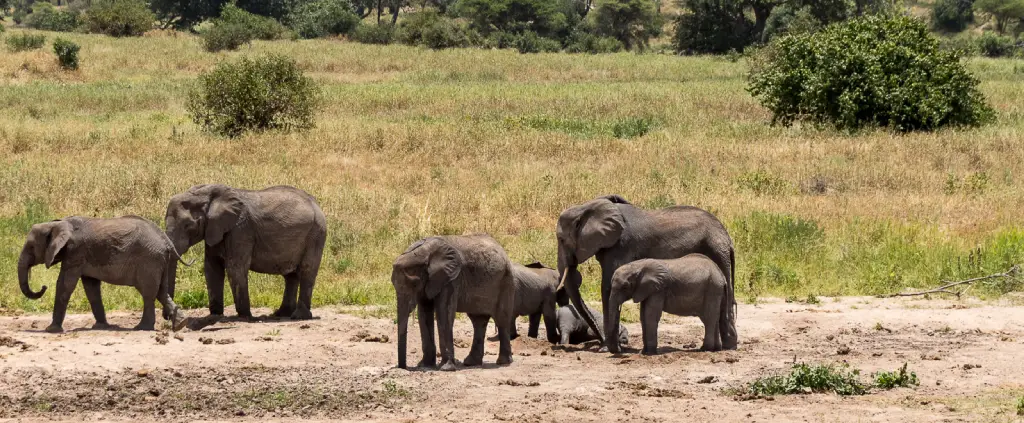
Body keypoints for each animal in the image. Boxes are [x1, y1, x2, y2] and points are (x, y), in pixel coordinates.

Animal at [17, 216, 190, 331]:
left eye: (31, 247)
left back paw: (141, 328)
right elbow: (91, 288)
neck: (57, 224)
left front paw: (51, 330)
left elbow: (65, 284)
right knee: (161, 292)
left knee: (148, 294)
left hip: (149, 261)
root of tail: (166, 241)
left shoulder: (75, 253)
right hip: (159, 261)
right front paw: (101, 326)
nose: (43, 286)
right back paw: (180, 324)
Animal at [163, 183, 325, 317]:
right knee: (290, 276)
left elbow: (235, 268)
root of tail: (316, 204)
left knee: (307, 271)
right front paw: (215, 315)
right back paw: (281, 314)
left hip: (316, 234)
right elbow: (212, 268)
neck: (208, 195)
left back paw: (299, 316)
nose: (168, 317)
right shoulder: (215, 229)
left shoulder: (240, 229)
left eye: (188, 226)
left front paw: (246, 316)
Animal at [393, 234, 516, 368]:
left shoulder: (451, 279)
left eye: (414, 284)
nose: (403, 367)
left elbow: (444, 313)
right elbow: (424, 314)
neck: (423, 253)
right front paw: (425, 366)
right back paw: (471, 363)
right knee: (478, 321)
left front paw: (446, 368)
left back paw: (503, 362)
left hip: (506, 282)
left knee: (501, 320)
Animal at [602, 254, 733, 352]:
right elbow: (643, 316)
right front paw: (643, 351)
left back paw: (705, 349)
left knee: (709, 318)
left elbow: (651, 316)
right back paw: (716, 349)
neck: (637, 266)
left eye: (625, 287)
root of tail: (721, 275)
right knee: (715, 318)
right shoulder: (646, 290)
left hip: (712, 289)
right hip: (716, 290)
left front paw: (648, 353)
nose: (620, 348)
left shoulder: (658, 289)